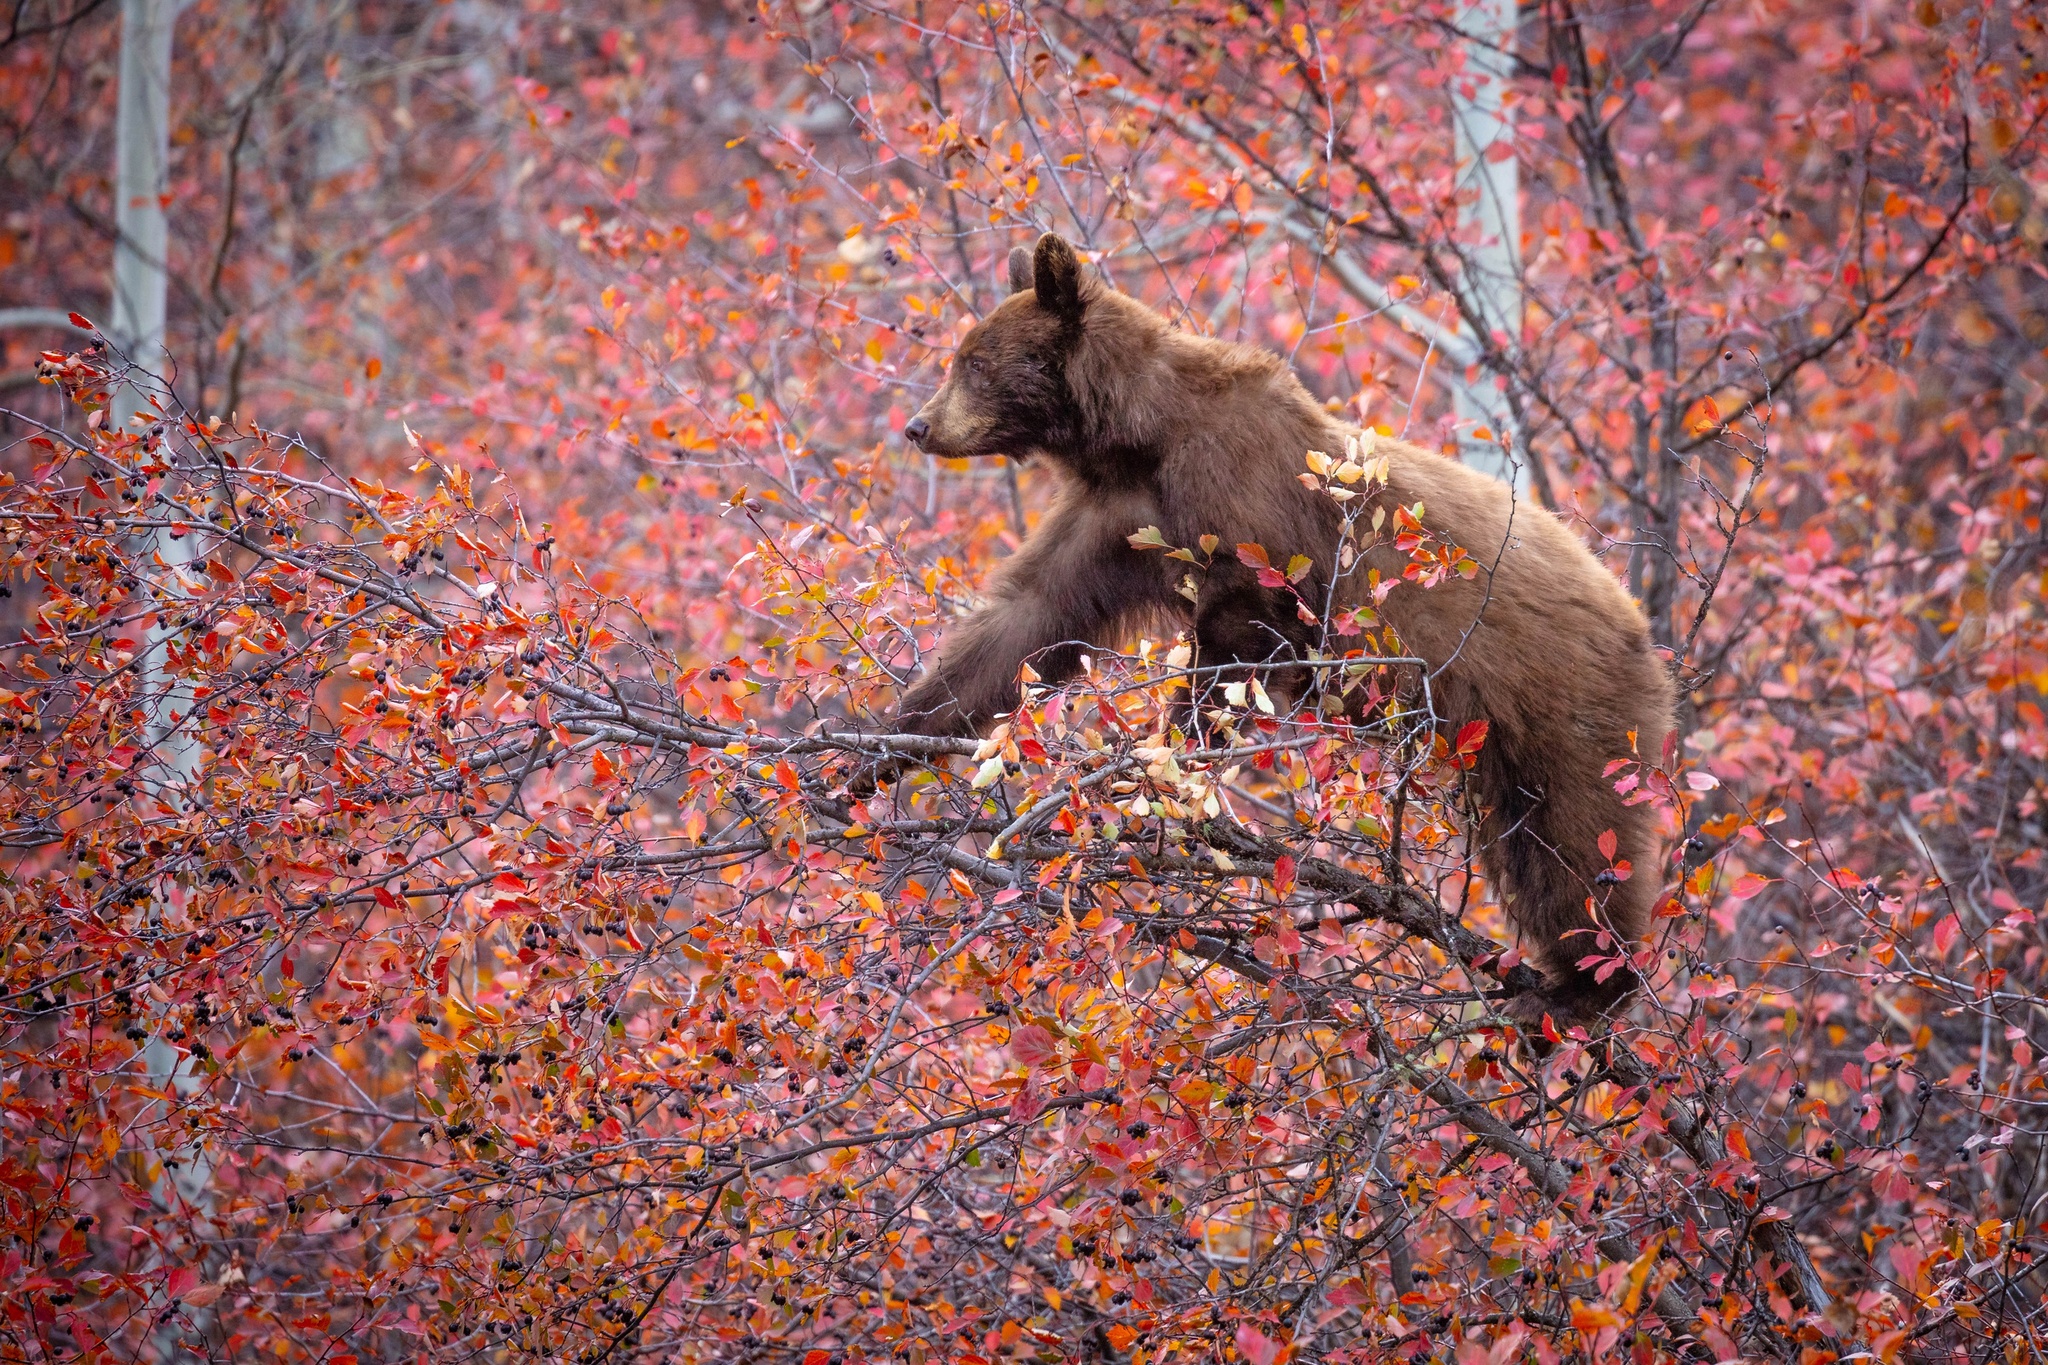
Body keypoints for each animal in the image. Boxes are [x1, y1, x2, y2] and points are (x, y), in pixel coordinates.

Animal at [880, 235, 1662, 1031]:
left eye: (975, 363)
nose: (918, 426)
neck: (1143, 437)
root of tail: (1636, 619)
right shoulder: (1115, 521)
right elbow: (1024, 624)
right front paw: (877, 749)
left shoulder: (1248, 505)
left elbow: (1238, 642)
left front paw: (1161, 764)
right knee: (1530, 839)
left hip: (1560, 699)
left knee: (1576, 838)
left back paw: (1583, 989)